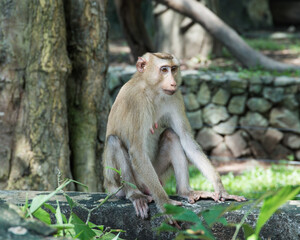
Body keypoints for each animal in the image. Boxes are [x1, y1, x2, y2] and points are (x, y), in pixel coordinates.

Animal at [103, 52, 246, 221]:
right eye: (164, 69)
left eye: (174, 69)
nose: (173, 83)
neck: (152, 90)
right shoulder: (136, 101)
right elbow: (137, 150)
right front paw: (164, 204)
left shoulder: (175, 97)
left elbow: (185, 138)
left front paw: (221, 189)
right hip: (120, 184)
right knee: (114, 141)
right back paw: (135, 195)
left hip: (158, 174)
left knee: (172, 135)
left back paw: (185, 191)